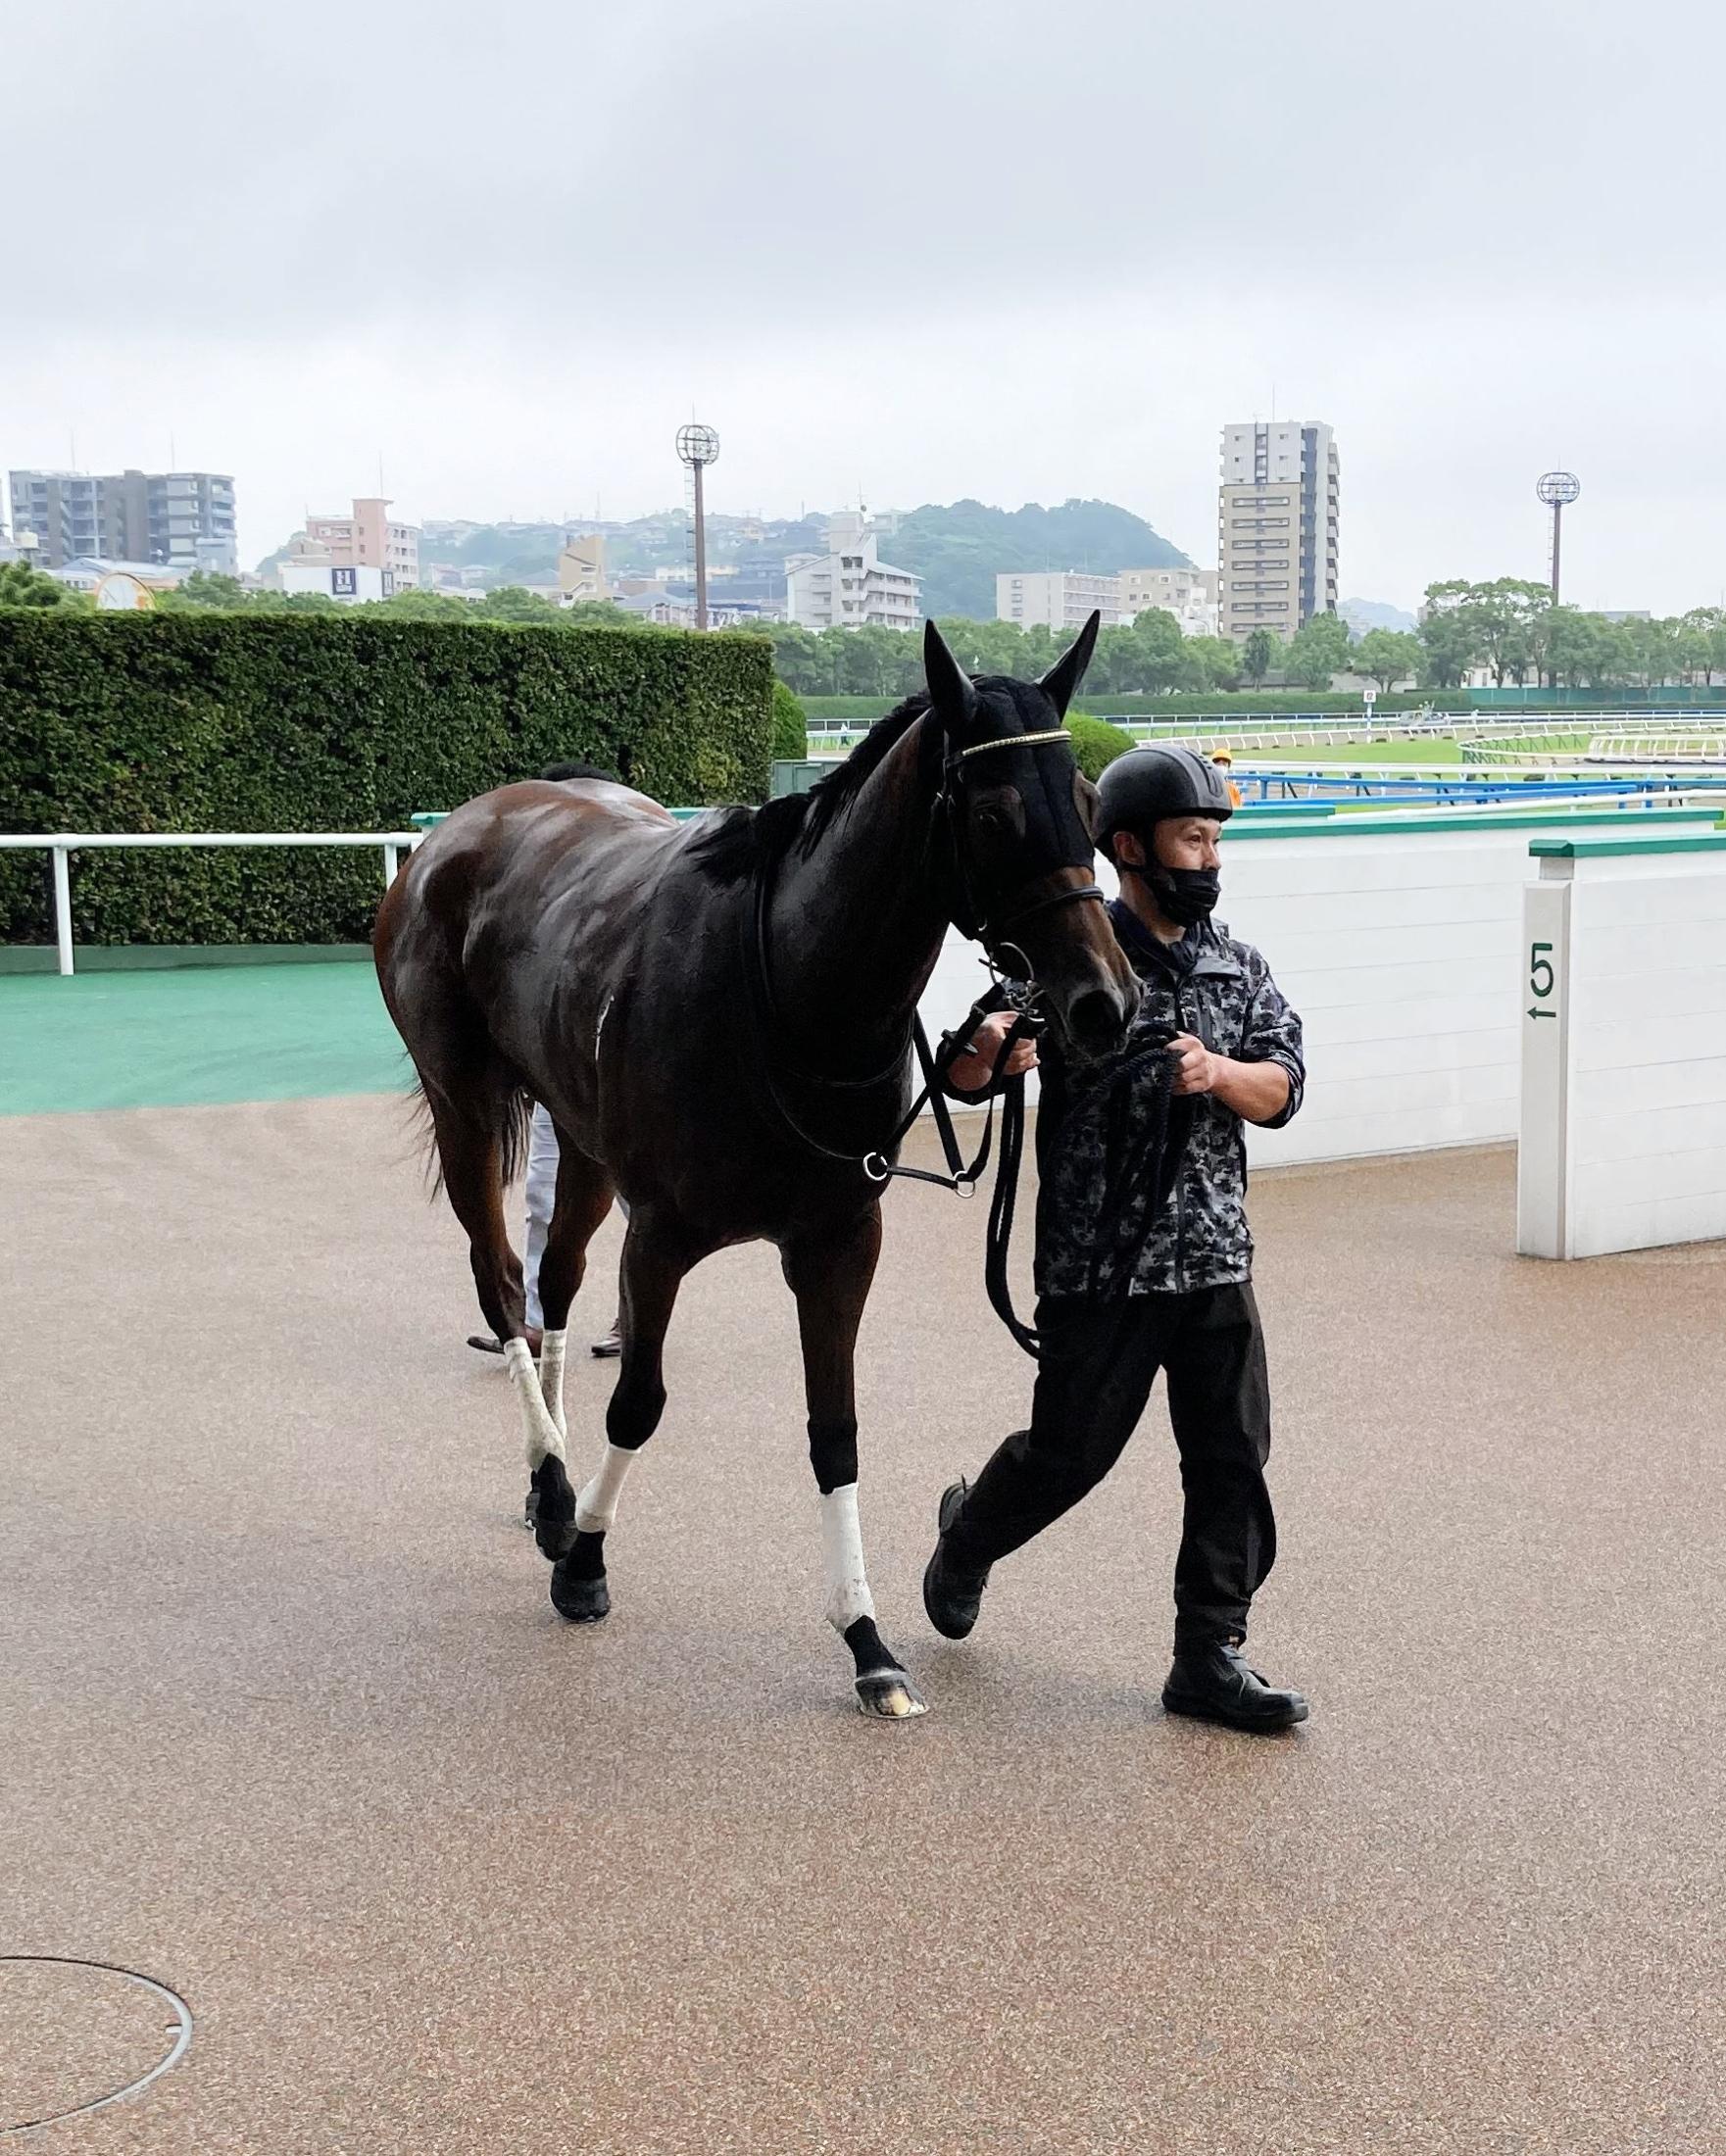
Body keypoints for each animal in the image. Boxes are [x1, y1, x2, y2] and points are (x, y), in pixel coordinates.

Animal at [372, 620, 1130, 1716]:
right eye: (993, 813)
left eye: (1086, 803)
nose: (1105, 1001)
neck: (790, 989)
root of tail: (459, 829)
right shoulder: (662, 1236)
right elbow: (639, 1404)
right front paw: (587, 1564)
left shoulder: (839, 1240)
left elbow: (834, 1428)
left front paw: (866, 1639)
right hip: (464, 1101)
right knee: (503, 1280)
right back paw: (555, 1485)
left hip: (582, 1133)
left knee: (556, 1279)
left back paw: (548, 1486)